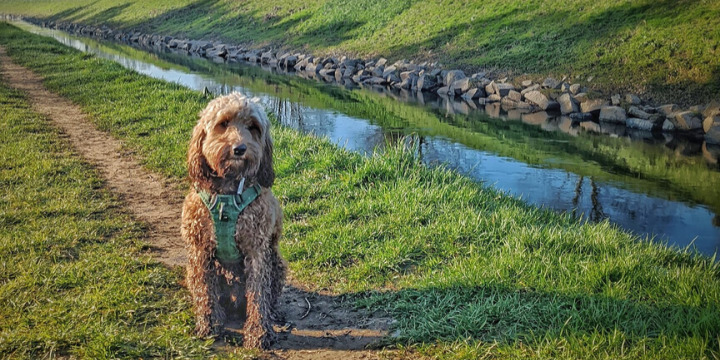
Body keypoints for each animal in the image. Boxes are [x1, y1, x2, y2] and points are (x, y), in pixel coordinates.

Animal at [180, 93, 286, 348]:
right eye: (224, 123)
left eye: (253, 127)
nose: (240, 149)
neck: (228, 195)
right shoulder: (200, 250)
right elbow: (205, 291)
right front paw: (209, 324)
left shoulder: (257, 251)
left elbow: (259, 295)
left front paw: (259, 332)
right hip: (191, 269)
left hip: (277, 262)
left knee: (269, 295)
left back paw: (273, 314)